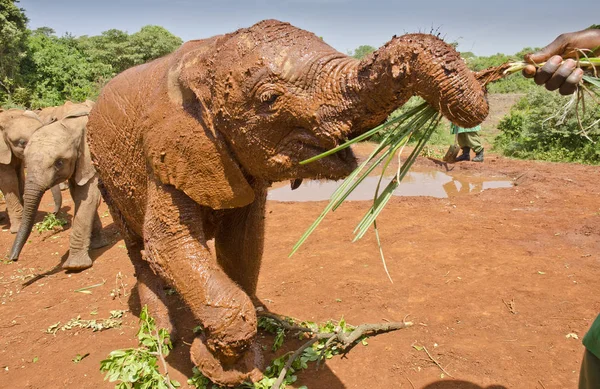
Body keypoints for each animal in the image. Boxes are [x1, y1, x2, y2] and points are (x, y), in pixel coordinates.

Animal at [8, 106, 108, 270]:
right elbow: (78, 196)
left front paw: (75, 267)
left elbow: (89, 199)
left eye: (59, 163)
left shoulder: (90, 160)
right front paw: (98, 245)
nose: (12, 259)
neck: (70, 125)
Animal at [86, 19, 490, 384]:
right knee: (138, 248)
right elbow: (168, 242)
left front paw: (251, 347)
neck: (206, 56)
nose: (485, 84)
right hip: (103, 173)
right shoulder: (163, 154)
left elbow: (244, 241)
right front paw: (218, 364)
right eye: (268, 99)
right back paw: (156, 334)